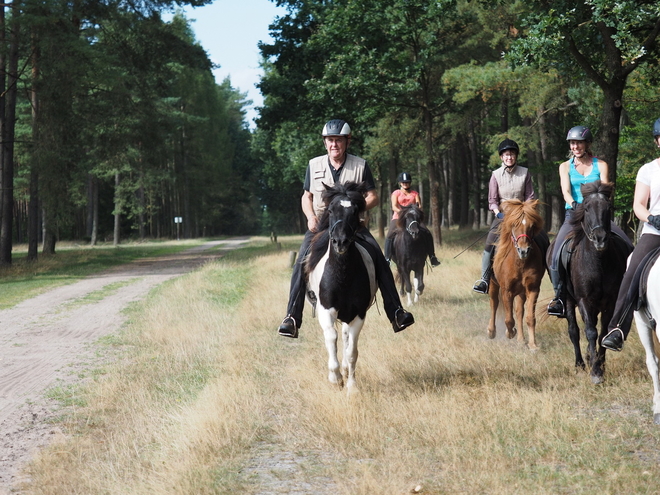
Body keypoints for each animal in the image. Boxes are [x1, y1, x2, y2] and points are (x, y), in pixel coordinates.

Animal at [304, 180, 376, 394]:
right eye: (331, 210)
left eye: (355, 211)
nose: (340, 242)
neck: (342, 275)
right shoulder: (326, 310)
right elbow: (331, 337)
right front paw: (335, 378)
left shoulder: (359, 314)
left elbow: (352, 351)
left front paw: (351, 386)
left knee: (346, 338)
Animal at [490, 200, 548, 350]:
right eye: (514, 225)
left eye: (532, 226)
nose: (524, 251)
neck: (520, 263)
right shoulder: (507, 290)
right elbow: (509, 320)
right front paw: (510, 333)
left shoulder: (532, 289)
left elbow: (529, 317)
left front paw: (533, 345)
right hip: (493, 284)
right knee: (494, 303)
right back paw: (491, 331)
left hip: (521, 292)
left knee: (519, 312)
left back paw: (521, 340)